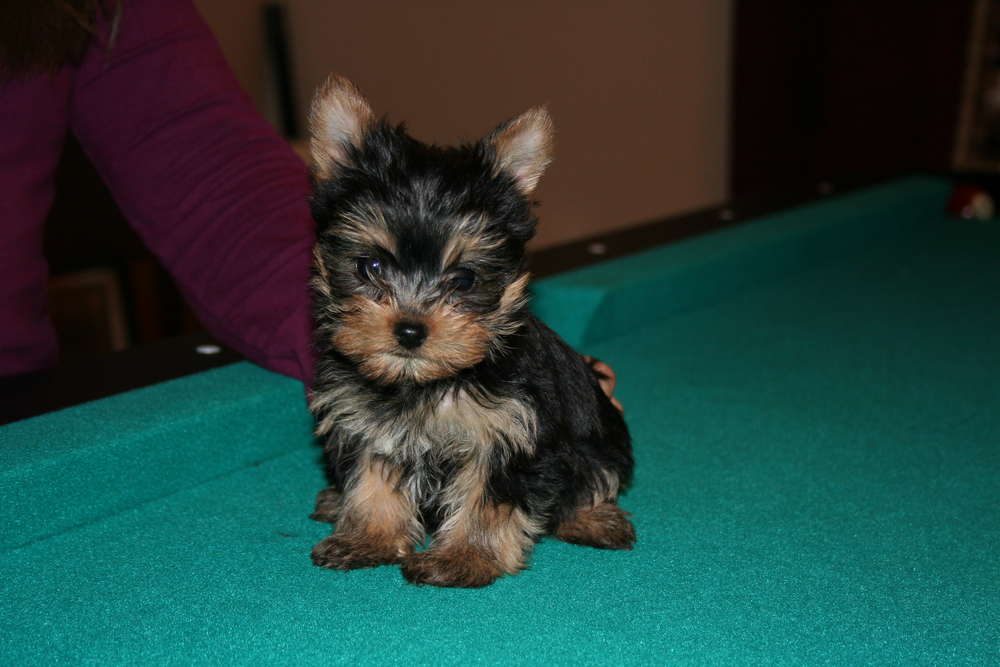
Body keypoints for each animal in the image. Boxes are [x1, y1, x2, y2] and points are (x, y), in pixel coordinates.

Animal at [306, 77, 632, 588]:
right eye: (370, 267)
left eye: (463, 280)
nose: (410, 330)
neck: (422, 383)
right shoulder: (363, 420)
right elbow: (372, 477)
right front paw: (369, 537)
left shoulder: (509, 434)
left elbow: (487, 498)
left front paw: (464, 557)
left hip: (603, 438)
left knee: (596, 475)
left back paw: (595, 518)